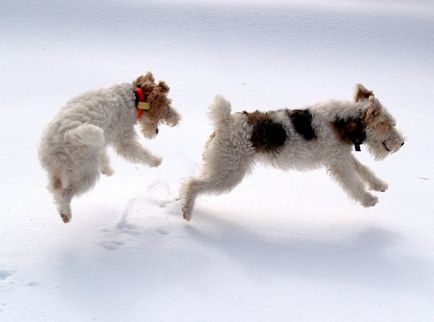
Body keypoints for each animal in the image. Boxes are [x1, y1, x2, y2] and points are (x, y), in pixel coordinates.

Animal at [37, 71, 180, 223]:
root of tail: (66, 136)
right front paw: (156, 161)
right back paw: (66, 214)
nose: (177, 119)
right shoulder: (124, 139)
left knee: (54, 188)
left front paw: (108, 170)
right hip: (86, 173)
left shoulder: (101, 144)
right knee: (64, 194)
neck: (133, 97)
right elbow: (139, 152)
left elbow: (104, 156)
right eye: (166, 105)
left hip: (55, 169)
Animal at [180, 83, 404, 220]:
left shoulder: (342, 156)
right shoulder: (339, 163)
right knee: (192, 184)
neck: (348, 122)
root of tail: (224, 120)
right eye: (389, 123)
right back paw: (186, 212)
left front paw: (379, 185)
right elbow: (354, 184)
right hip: (229, 172)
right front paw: (369, 200)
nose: (402, 143)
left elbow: (364, 170)